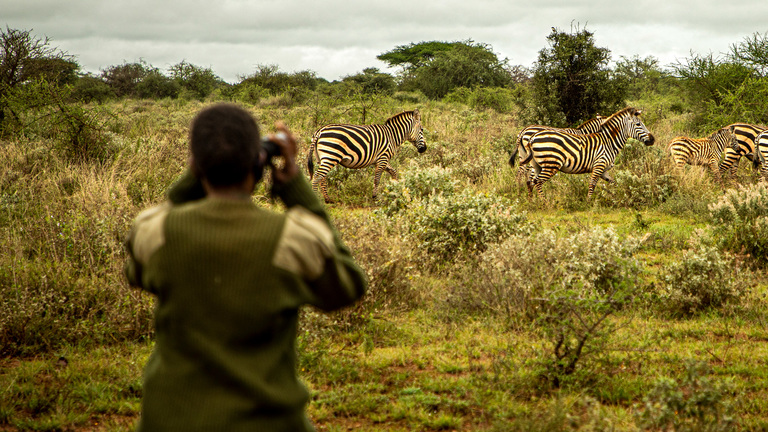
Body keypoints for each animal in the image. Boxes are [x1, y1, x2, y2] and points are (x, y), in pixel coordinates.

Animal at [526, 107, 655, 200]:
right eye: (638, 124)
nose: (652, 139)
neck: (609, 142)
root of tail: (533, 138)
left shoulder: (604, 170)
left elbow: (614, 183)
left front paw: (620, 195)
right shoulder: (599, 165)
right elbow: (592, 184)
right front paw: (589, 202)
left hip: (537, 165)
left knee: (531, 181)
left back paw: (533, 201)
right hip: (551, 164)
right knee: (537, 181)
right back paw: (544, 202)